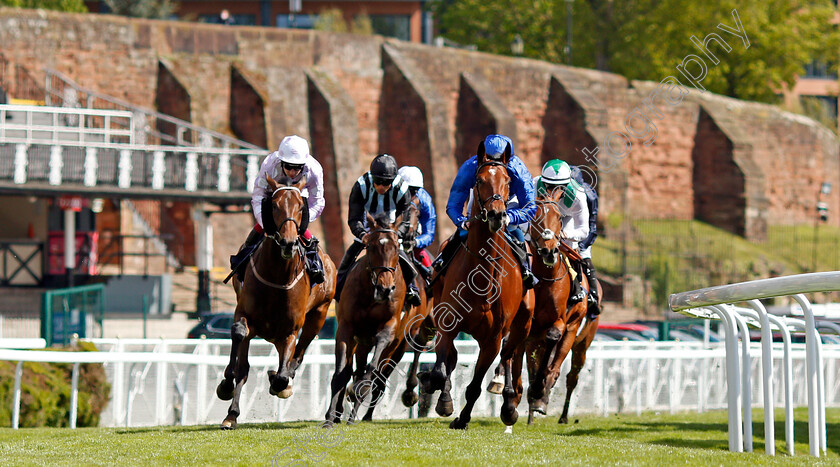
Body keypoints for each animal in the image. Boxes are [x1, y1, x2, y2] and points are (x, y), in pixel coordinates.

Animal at [218, 176, 336, 432]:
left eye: (300, 207)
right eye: (274, 205)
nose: (289, 243)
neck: (277, 276)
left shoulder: (291, 330)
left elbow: (284, 371)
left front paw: (278, 382)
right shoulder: (244, 313)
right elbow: (239, 337)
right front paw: (227, 390)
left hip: (319, 315)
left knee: (298, 355)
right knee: (243, 365)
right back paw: (231, 408)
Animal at [324, 214, 406, 426]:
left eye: (396, 246)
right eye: (371, 246)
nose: (385, 289)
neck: (371, 294)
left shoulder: (389, 328)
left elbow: (371, 370)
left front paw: (358, 394)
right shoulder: (346, 328)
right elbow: (340, 373)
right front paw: (330, 418)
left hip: (392, 345)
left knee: (374, 374)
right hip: (360, 340)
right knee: (352, 369)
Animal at [424, 143, 536, 432]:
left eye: (507, 180)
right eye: (479, 180)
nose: (497, 214)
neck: (482, 276)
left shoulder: (493, 337)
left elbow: (475, 385)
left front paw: (462, 418)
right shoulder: (447, 322)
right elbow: (443, 365)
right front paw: (442, 399)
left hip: (523, 323)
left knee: (510, 355)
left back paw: (509, 404)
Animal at [524, 189, 596, 424]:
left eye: (559, 217)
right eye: (534, 216)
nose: (549, 251)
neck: (546, 279)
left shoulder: (561, 322)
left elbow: (553, 339)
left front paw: (540, 392)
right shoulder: (529, 330)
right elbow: (532, 367)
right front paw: (535, 395)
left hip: (579, 337)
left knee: (568, 374)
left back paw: (559, 413)